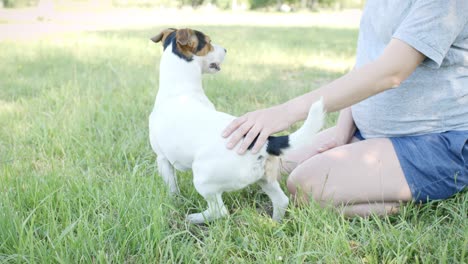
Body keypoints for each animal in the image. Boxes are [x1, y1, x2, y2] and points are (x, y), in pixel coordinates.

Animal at [148, 28, 324, 223]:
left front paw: (174, 201)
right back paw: (274, 224)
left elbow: (172, 188)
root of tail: (265, 142)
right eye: (209, 42)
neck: (180, 89)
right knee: (282, 201)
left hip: (203, 177)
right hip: (266, 179)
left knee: (219, 211)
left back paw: (193, 218)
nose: (226, 49)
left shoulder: (162, 159)